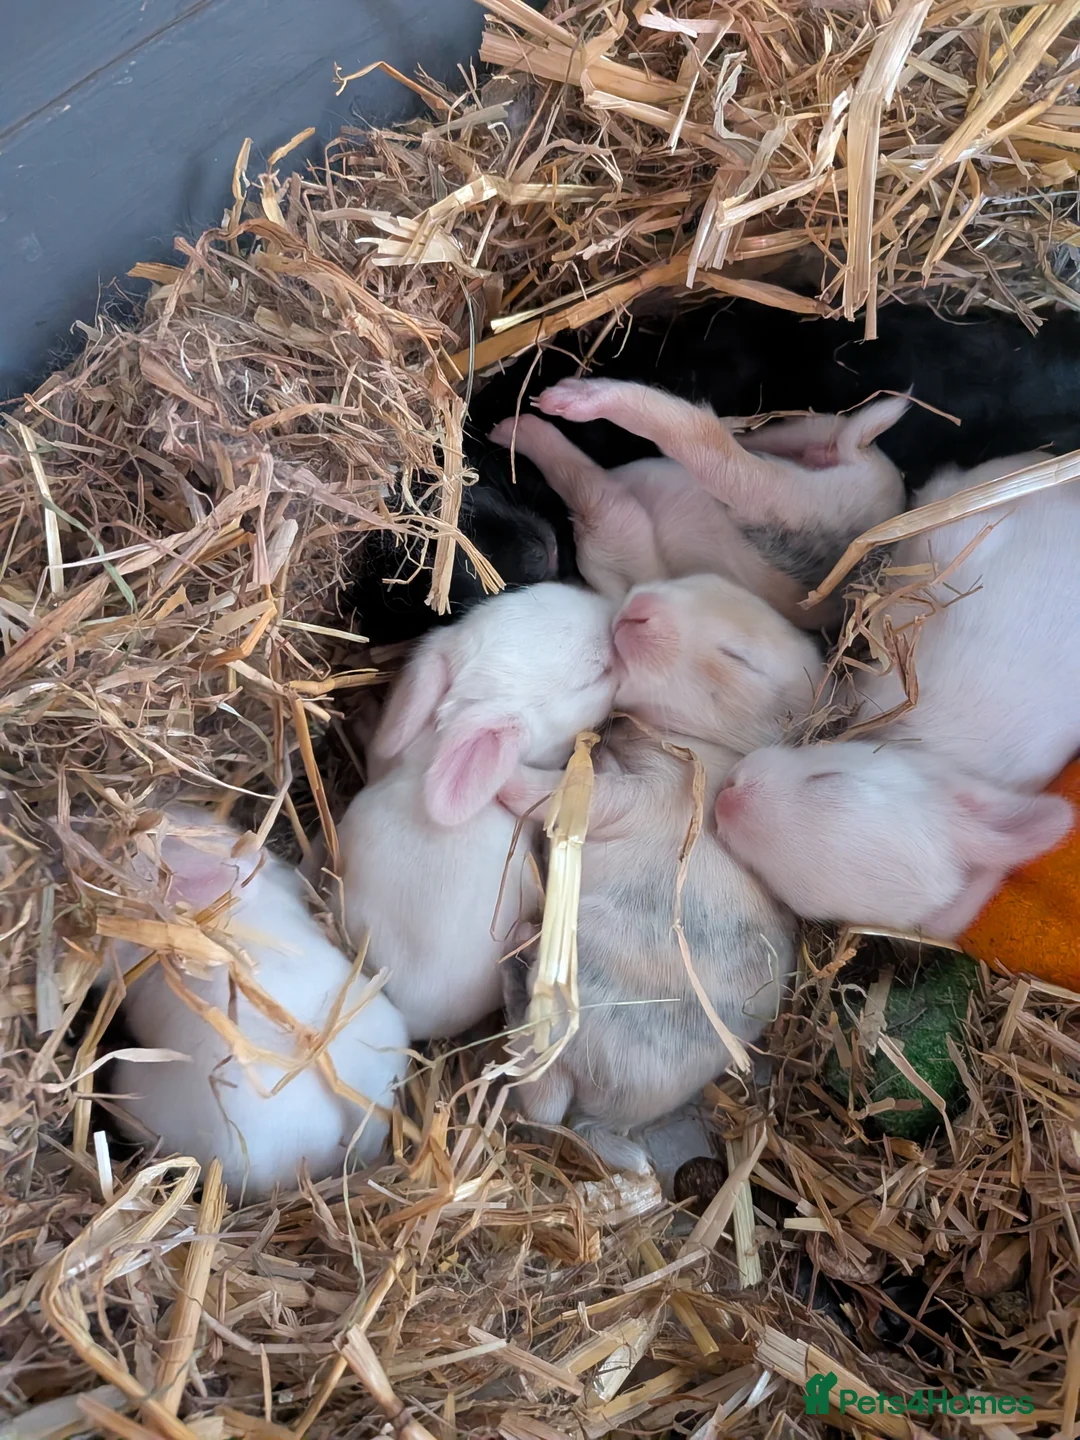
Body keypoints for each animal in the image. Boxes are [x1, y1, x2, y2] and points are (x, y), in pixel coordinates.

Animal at [489, 381, 908, 630]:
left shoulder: (613, 535)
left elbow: (592, 492)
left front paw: (511, 430)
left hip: (771, 500)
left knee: (701, 439)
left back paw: (545, 407)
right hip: (809, 438)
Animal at [499, 574, 824, 1172]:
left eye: (739, 658)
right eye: (700, 579)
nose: (641, 609)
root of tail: (608, 1114)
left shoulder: (652, 790)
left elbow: (575, 792)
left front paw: (507, 773)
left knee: (540, 1096)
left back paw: (518, 953)